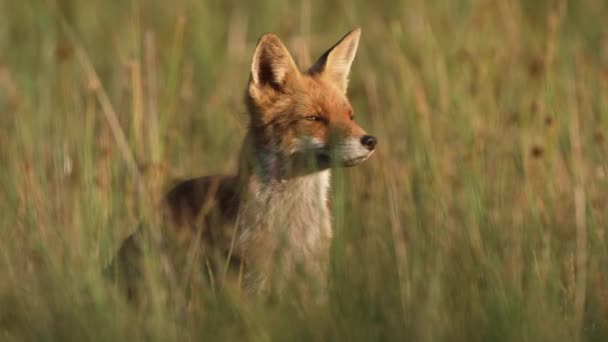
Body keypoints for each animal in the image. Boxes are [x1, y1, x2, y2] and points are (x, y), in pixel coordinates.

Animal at [109, 27, 376, 296]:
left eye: (350, 116)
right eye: (314, 118)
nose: (370, 141)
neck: (294, 230)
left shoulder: (314, 282)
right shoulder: (252, 284)